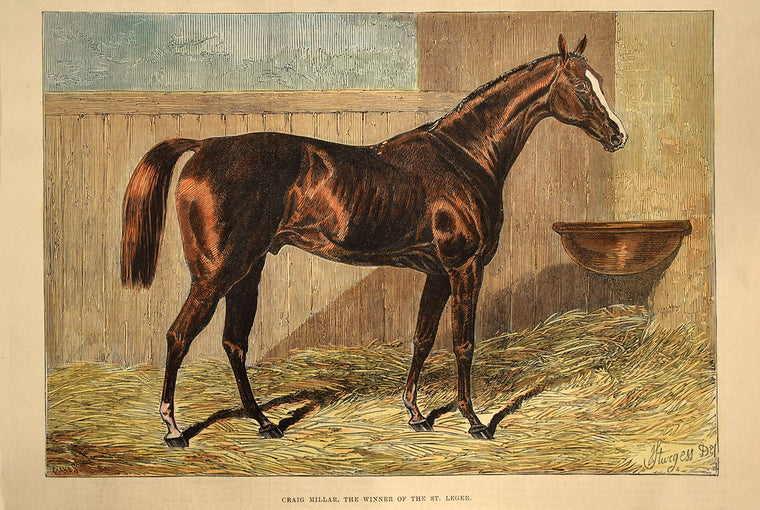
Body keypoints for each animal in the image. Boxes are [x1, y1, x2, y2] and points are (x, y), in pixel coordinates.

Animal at [121, 34, 627, 447]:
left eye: (599, 82)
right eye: (581, 87)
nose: (618, 135)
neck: (464, 154)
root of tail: (204, 147)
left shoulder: (438, 273)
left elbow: (423, 338)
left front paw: (416, 413)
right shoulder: (463, 266)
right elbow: (463, 342)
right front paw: (474, 421)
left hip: (248, 270)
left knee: (234, 343)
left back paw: (263, 422)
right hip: (216, 273)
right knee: (179, 335)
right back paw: (173, 428)